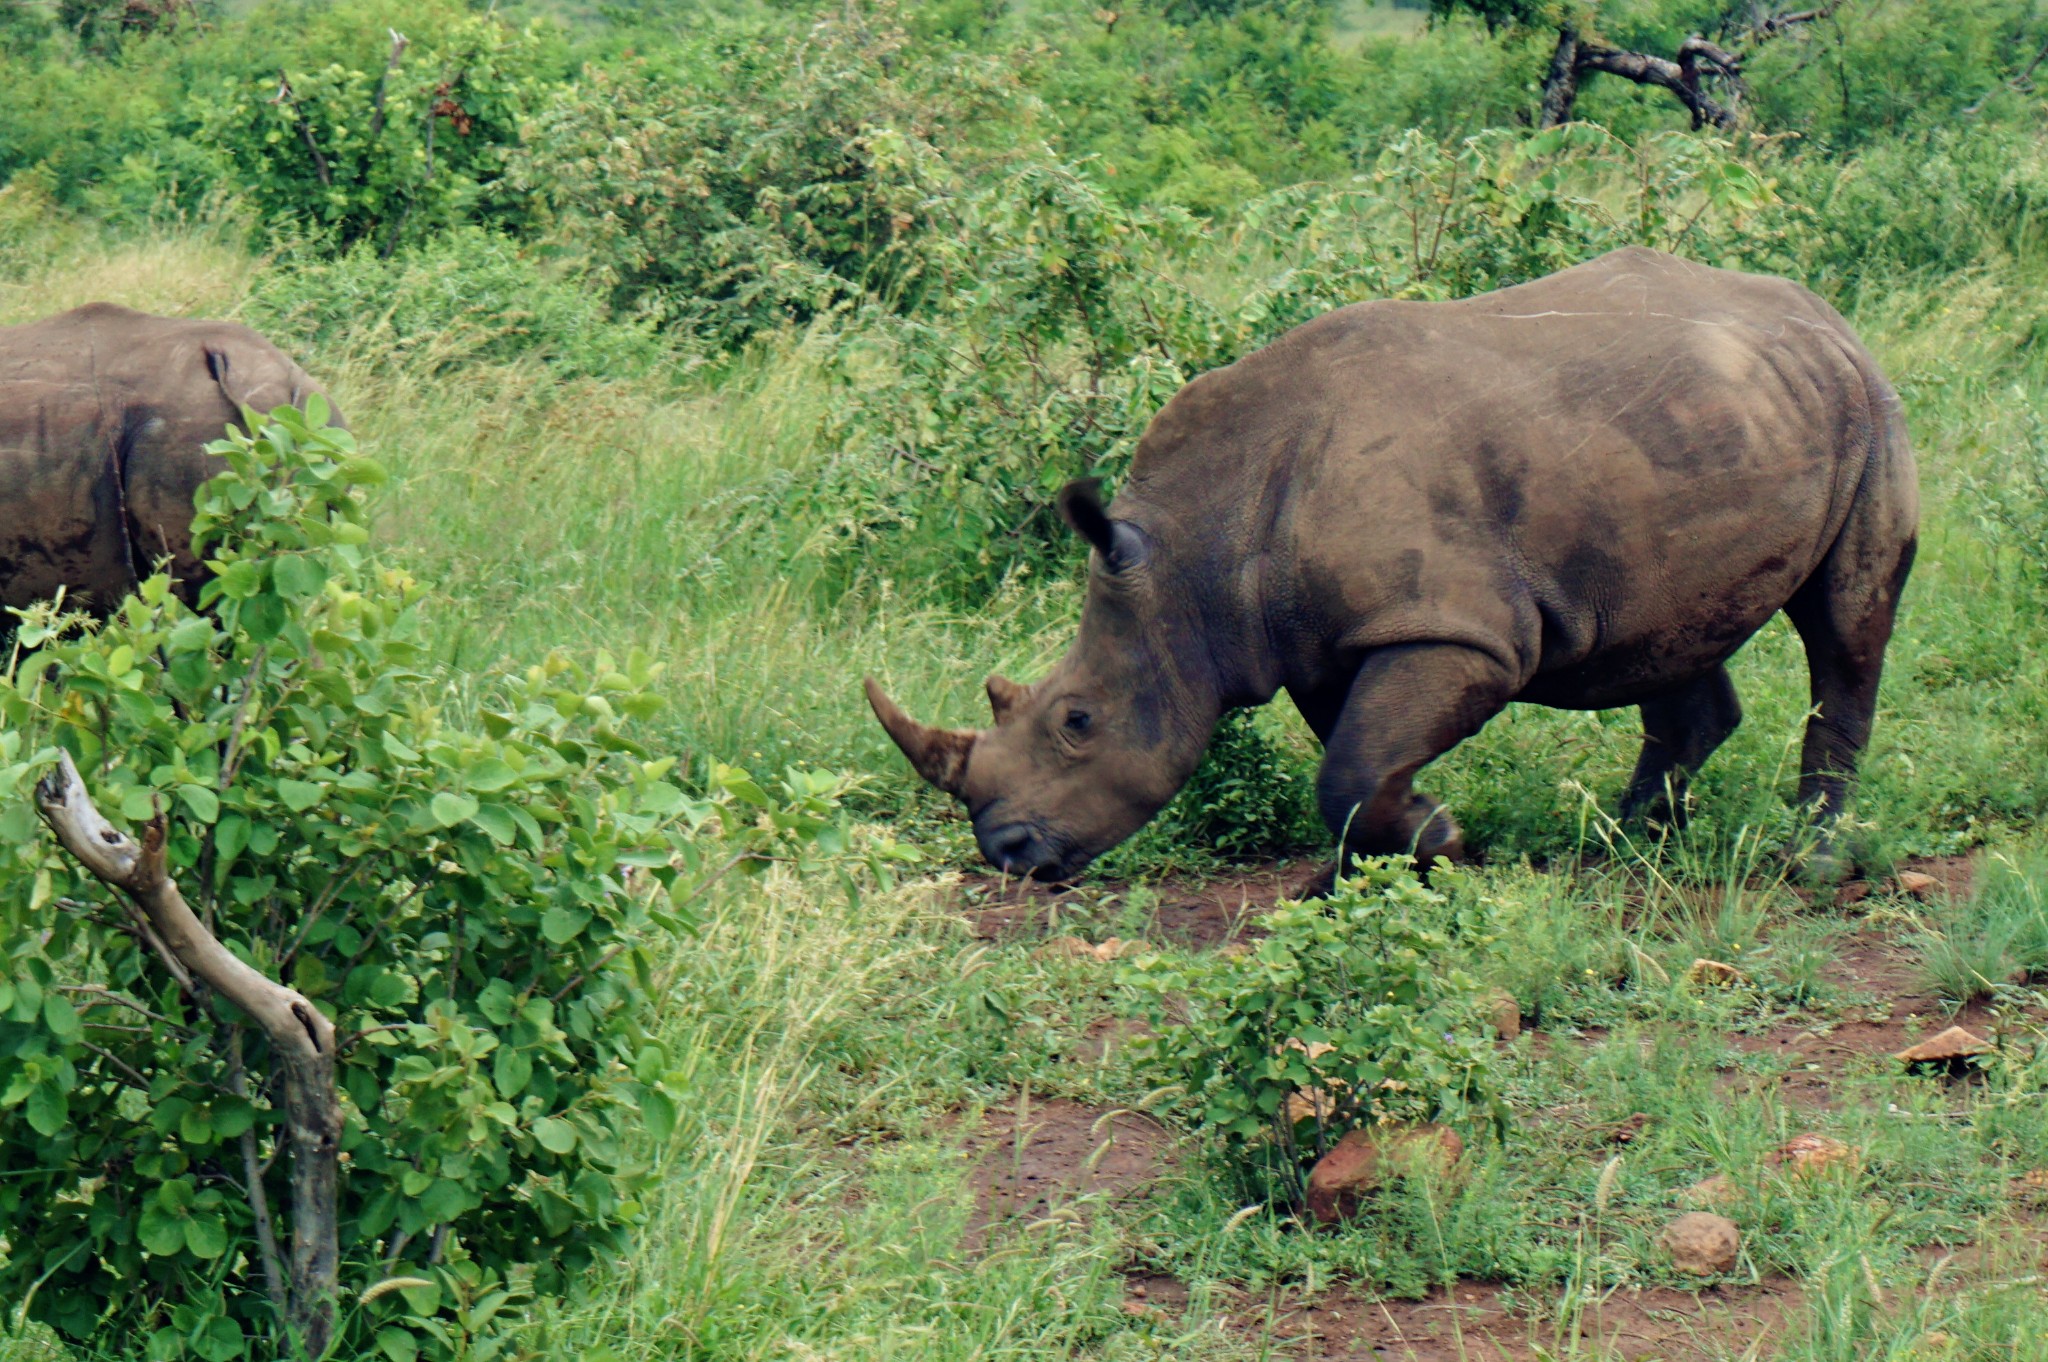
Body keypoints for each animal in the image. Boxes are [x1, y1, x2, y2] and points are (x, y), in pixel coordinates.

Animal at [864, 245, 1916, 880]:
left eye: (1078, 721)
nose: (1006, 850)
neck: (1196, 548)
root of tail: (1825, 313)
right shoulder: (1322, 639)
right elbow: (1352, 768)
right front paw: (1379, 870)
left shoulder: (1456, 630)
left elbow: (1350, 771)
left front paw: (1437, 838)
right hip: (1707, 429)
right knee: (1665, 633)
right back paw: (1623, 847)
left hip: (1869, 407)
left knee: (1845, 625)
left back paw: (1809, 859)